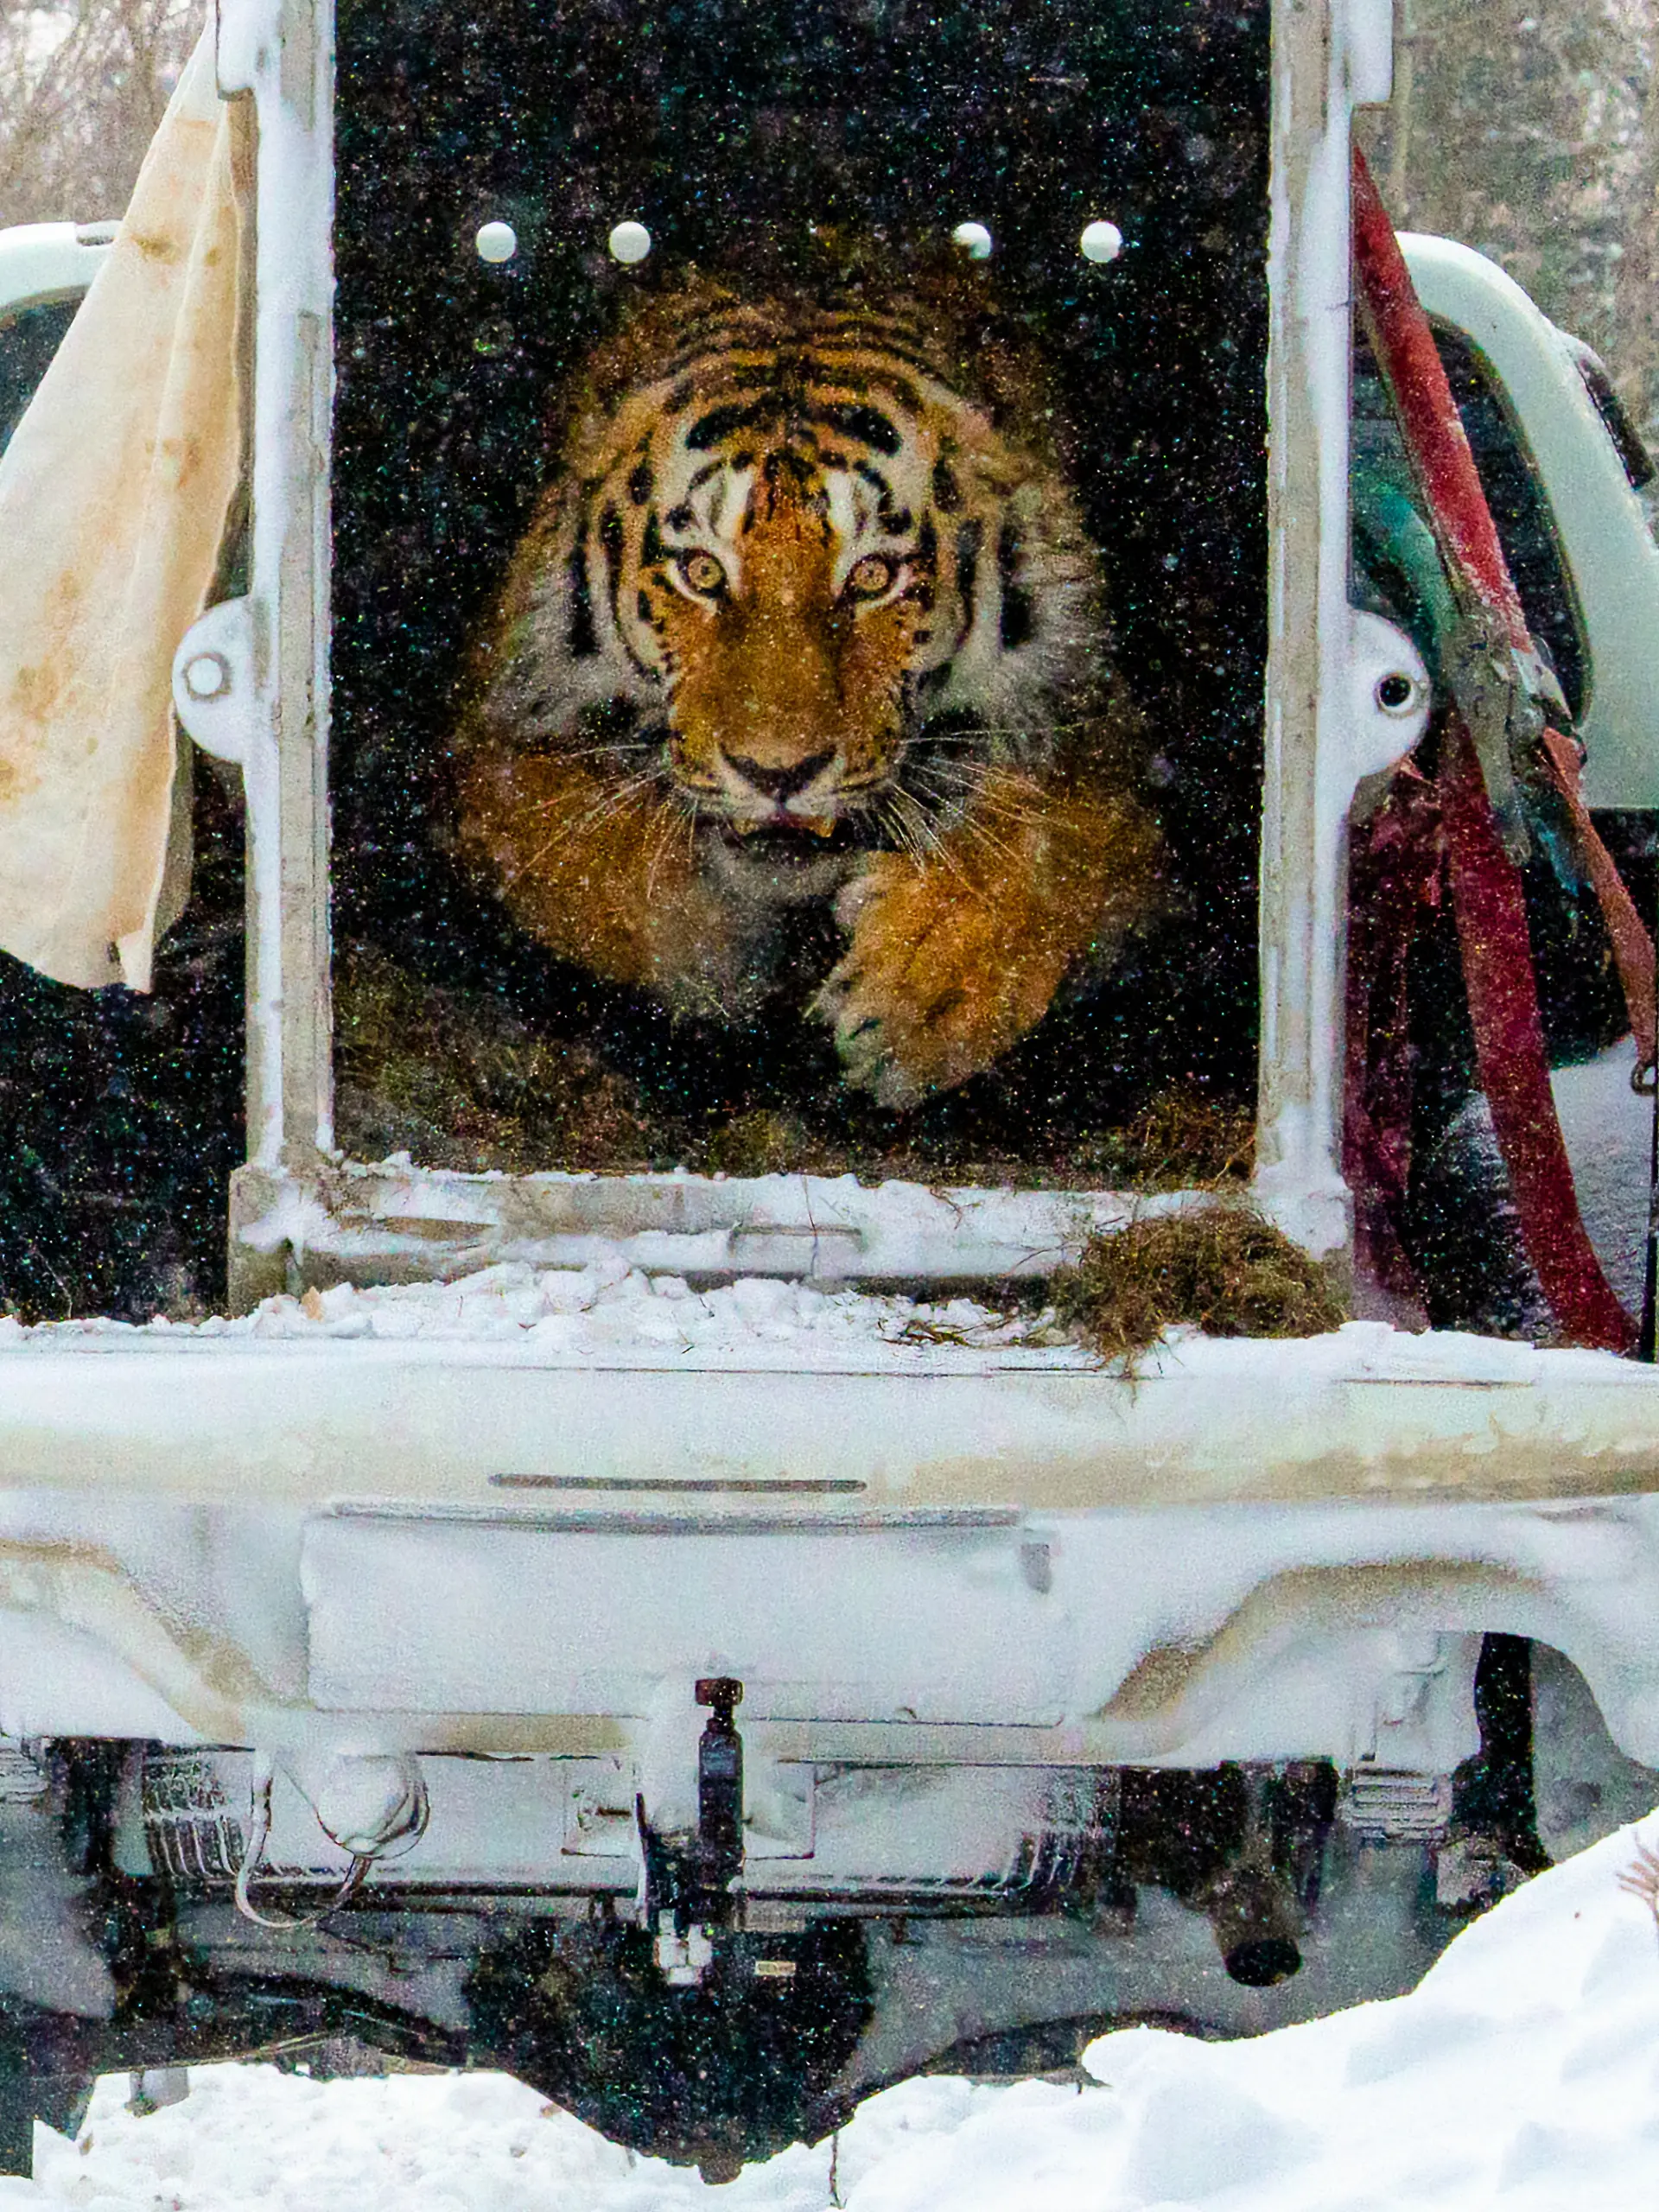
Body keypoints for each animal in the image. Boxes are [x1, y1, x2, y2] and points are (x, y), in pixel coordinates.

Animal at [452, 268, 1160, 1108]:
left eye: (873, 576)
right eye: (701, 572)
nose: (777, 774)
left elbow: (1077, 835)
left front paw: (922, 987)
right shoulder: (490, 731)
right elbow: (556, 840)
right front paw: (711, 951)